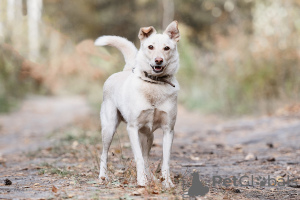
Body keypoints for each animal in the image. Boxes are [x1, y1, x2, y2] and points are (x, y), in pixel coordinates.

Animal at [95, 20, 179, 188]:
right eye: (150, 47)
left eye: (166, 48)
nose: (158, 60)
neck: (154, 84)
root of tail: (126, 69)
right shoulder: (132, 128)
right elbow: (138, 158)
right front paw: (141, 182)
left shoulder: (169, 130)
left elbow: (165, 160)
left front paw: (167, 183)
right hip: (109, 128)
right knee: (104, 153)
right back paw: (103, 176)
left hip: (148, 137)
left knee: (146, 158)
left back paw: (152, 178)